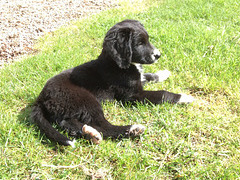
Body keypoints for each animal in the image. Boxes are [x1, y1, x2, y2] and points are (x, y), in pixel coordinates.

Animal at [31, 19, 194, 147]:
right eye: (140, 43)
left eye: (148, 40)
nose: (158, 55)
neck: (116, 63)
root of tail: (40, 99)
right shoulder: (132, 95)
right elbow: (162, 94)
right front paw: (185, 97)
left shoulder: (138, 80)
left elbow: (147, 76)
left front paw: (163, 73)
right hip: (86, 99)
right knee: (104, 126)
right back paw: (132, 129)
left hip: (68, 109)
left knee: (67, 123)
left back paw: (91, 134)